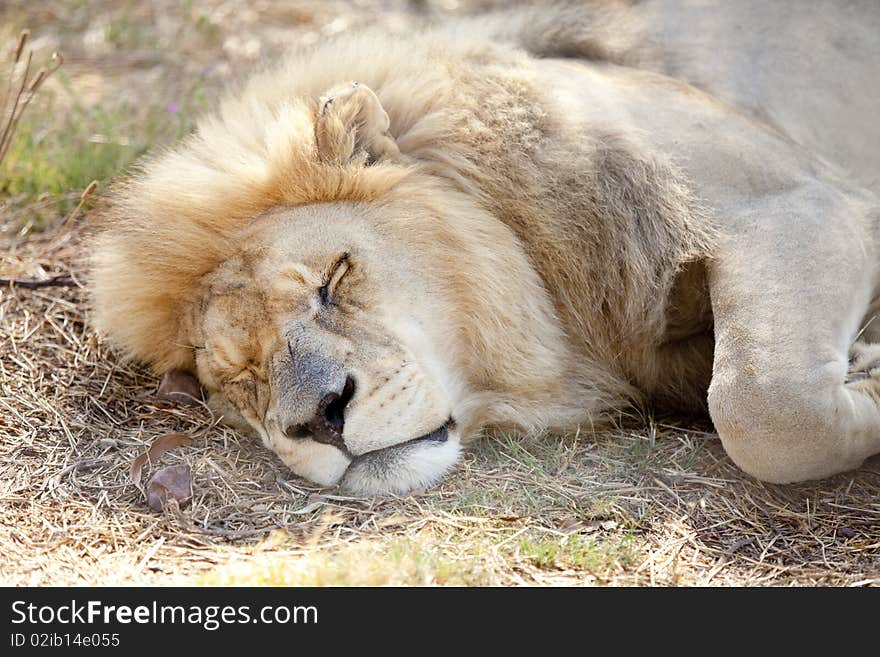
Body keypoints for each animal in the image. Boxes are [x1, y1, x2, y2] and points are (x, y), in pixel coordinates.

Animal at [89, 0, 880, 492]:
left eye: (334, 280)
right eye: (238, 377)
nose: (319, 418)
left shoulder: (800, 201)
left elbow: (761, 405)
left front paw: (869, 373)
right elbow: (761, 406)